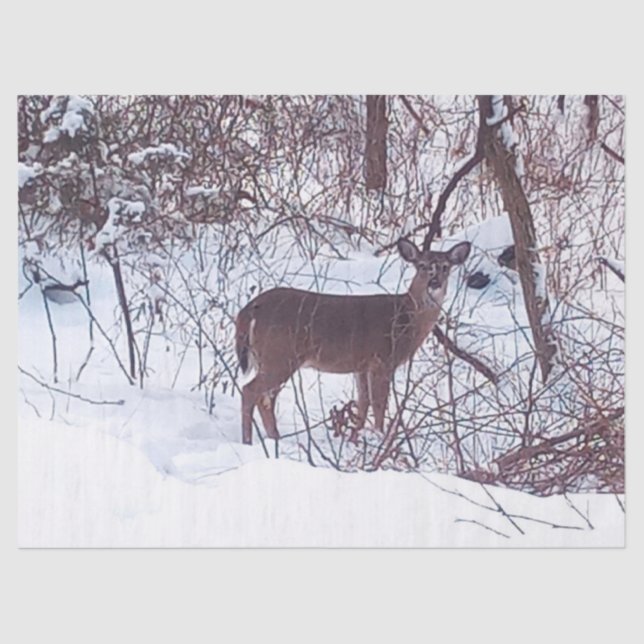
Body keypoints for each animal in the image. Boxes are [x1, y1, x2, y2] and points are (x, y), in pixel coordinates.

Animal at [235, 238, 471, 445]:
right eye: (422, 265)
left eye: (445, 267)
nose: (434, 283)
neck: (405, 318)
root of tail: (249, 309)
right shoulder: (382, 360)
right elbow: (379, 404)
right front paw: (379, 438)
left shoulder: (361, 366)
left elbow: (363, 403)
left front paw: (355, 438)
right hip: (280, 355)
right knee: (251, 391)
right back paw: (248, 441)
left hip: (274, 357)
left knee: (265, 399)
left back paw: (275, 438)